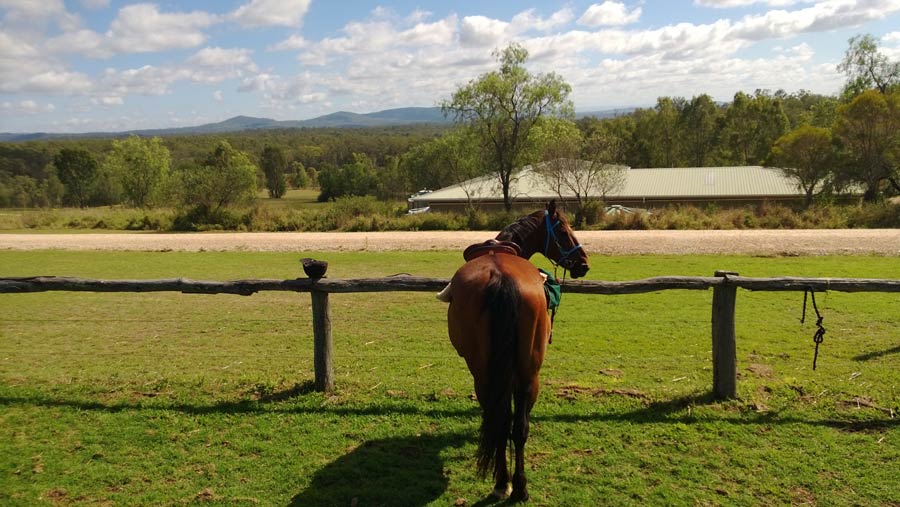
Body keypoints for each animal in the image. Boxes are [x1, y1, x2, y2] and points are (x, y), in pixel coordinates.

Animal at [448, 200, 592, 502]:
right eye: (563, 231)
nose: (583, 263)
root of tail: (501, 278)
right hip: (526, 374)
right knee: (515, 427)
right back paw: (516, 485)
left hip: (490, 376)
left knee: (505, 424)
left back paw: (506, 483)